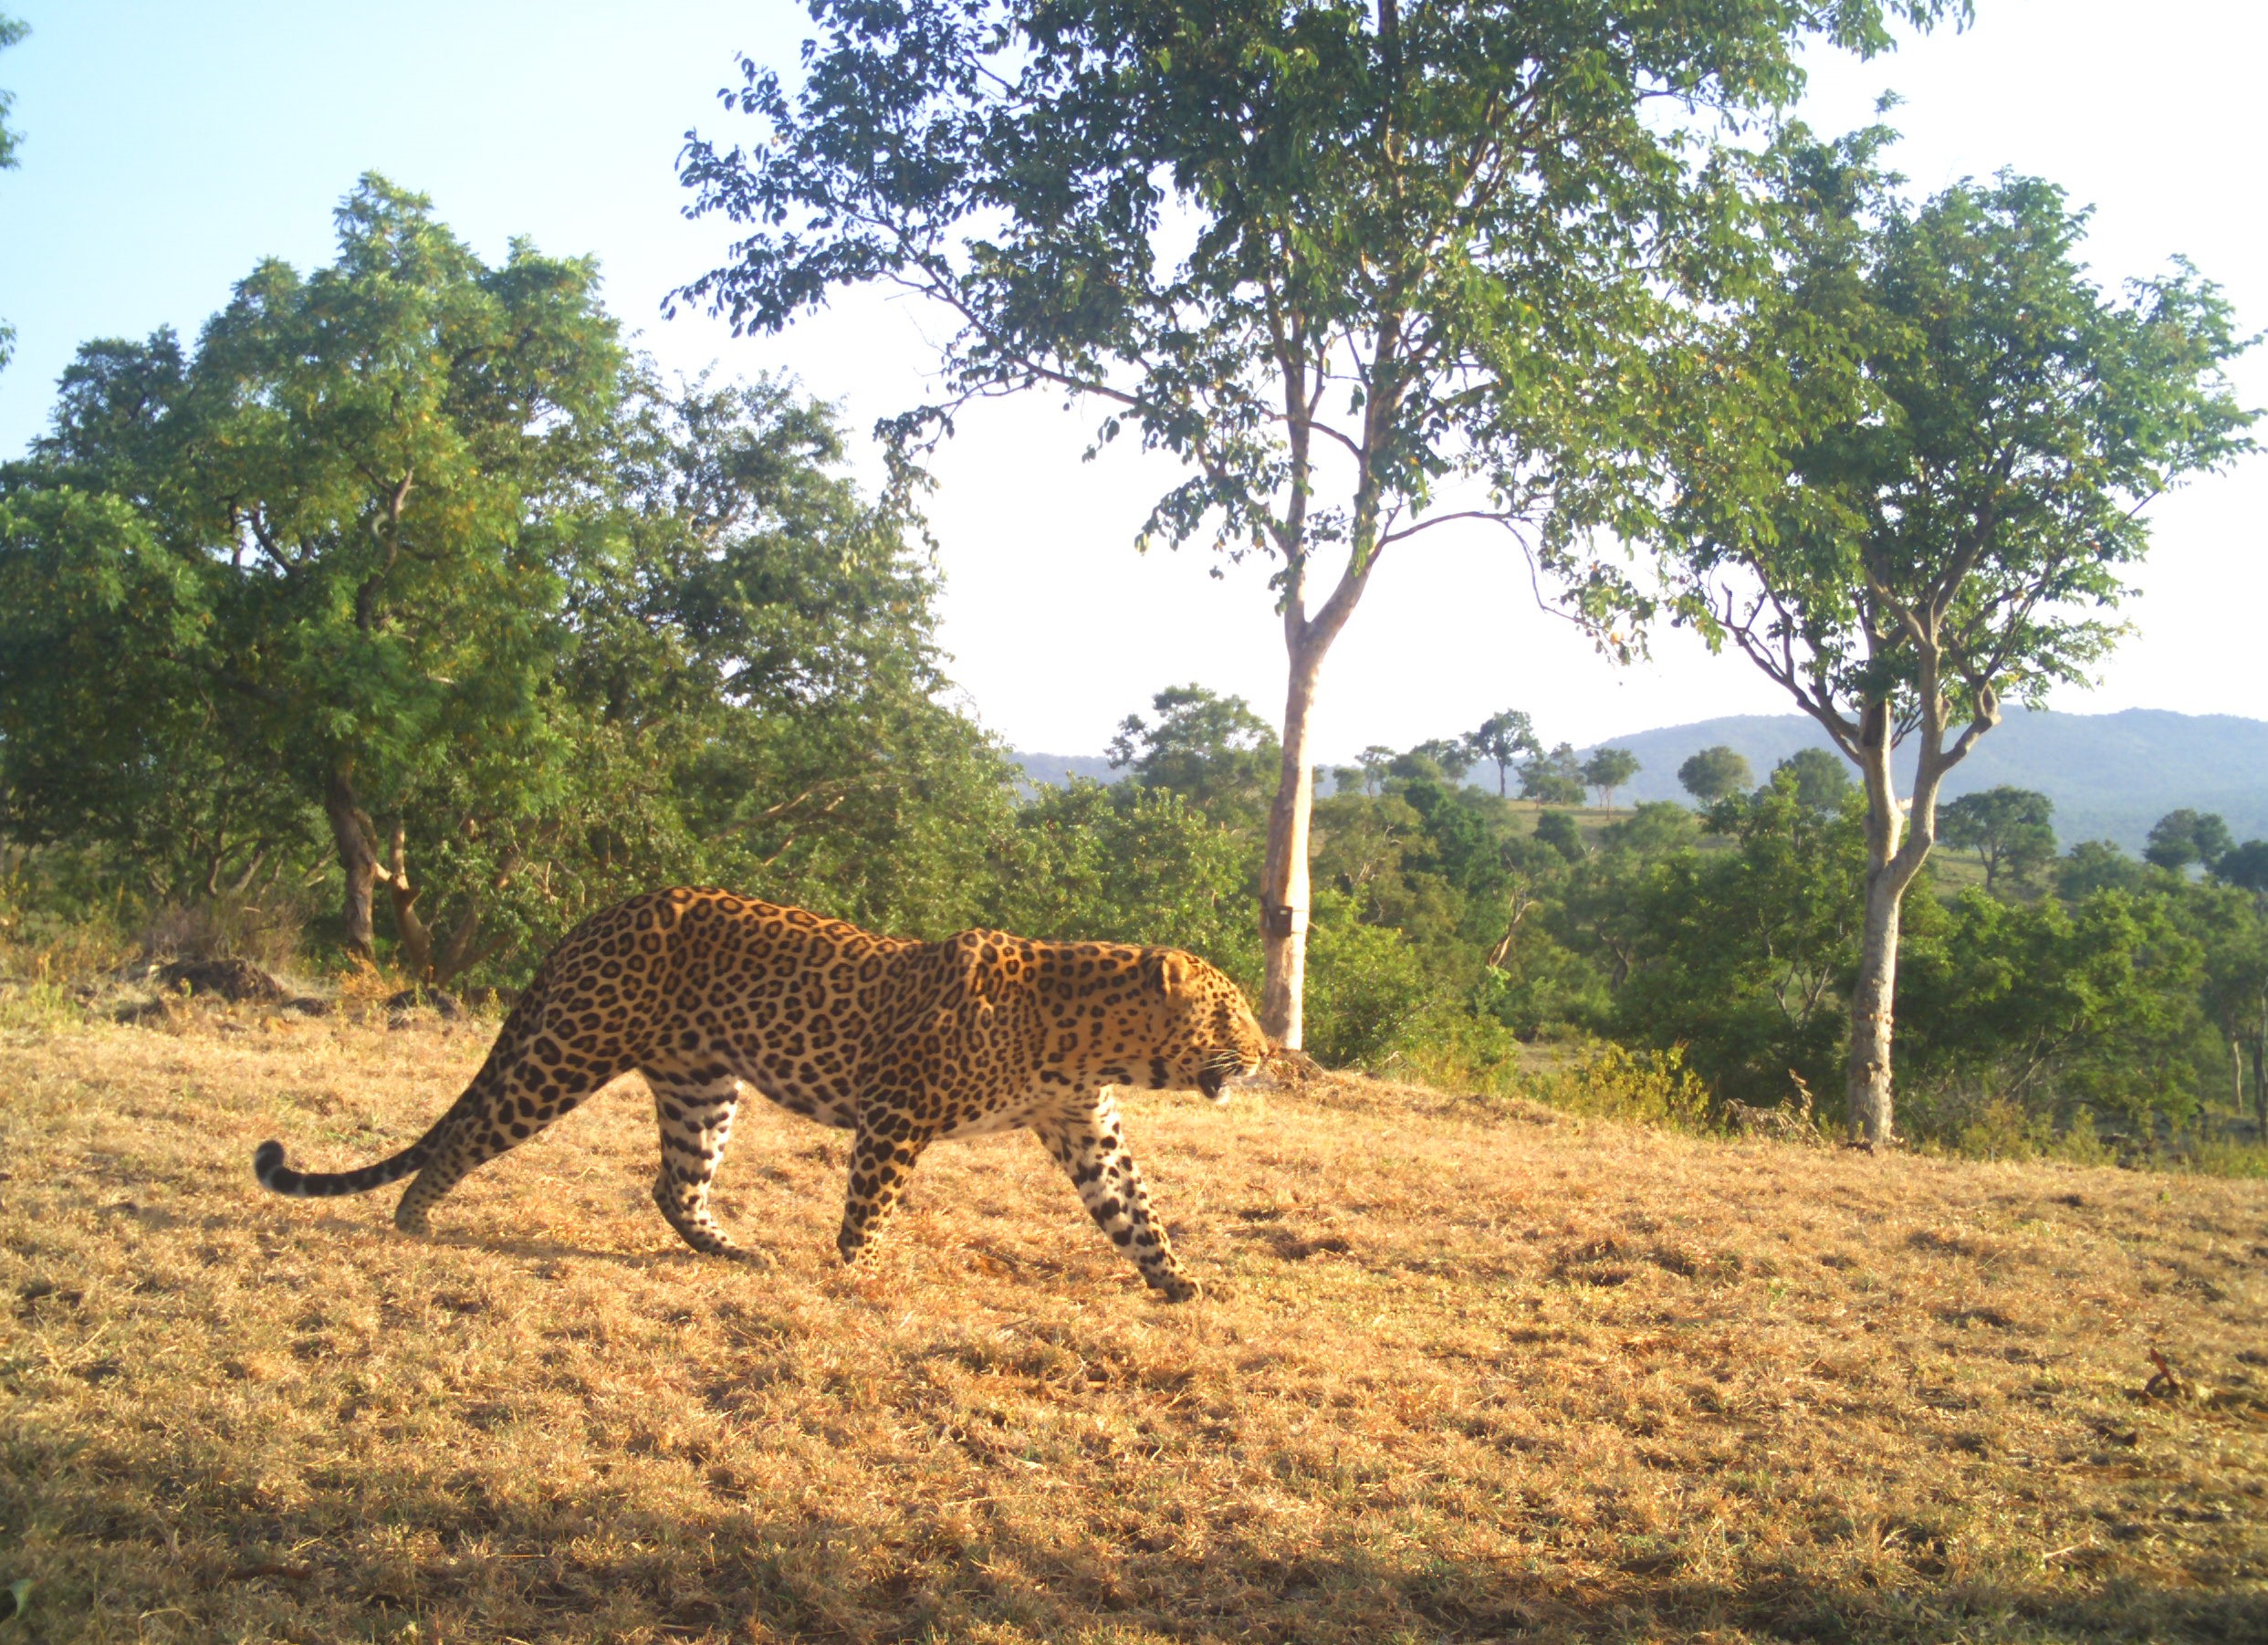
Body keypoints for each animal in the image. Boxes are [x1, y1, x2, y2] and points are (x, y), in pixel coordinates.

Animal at [253, 888, 1269, 1300]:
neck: (1086, 1037)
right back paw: (415, 1218)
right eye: (1230, 1012)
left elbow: (1135, 1211)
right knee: (470, 1136)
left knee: (672, 1183)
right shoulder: (896, 1115)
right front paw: (857, 1275)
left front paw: (1177, 1281)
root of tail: (599, 915)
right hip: (569, 1051)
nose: (1268, 1054)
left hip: (701, 1084)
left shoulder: (1086, 1127)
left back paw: (733, 1250)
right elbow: (869, 1207)